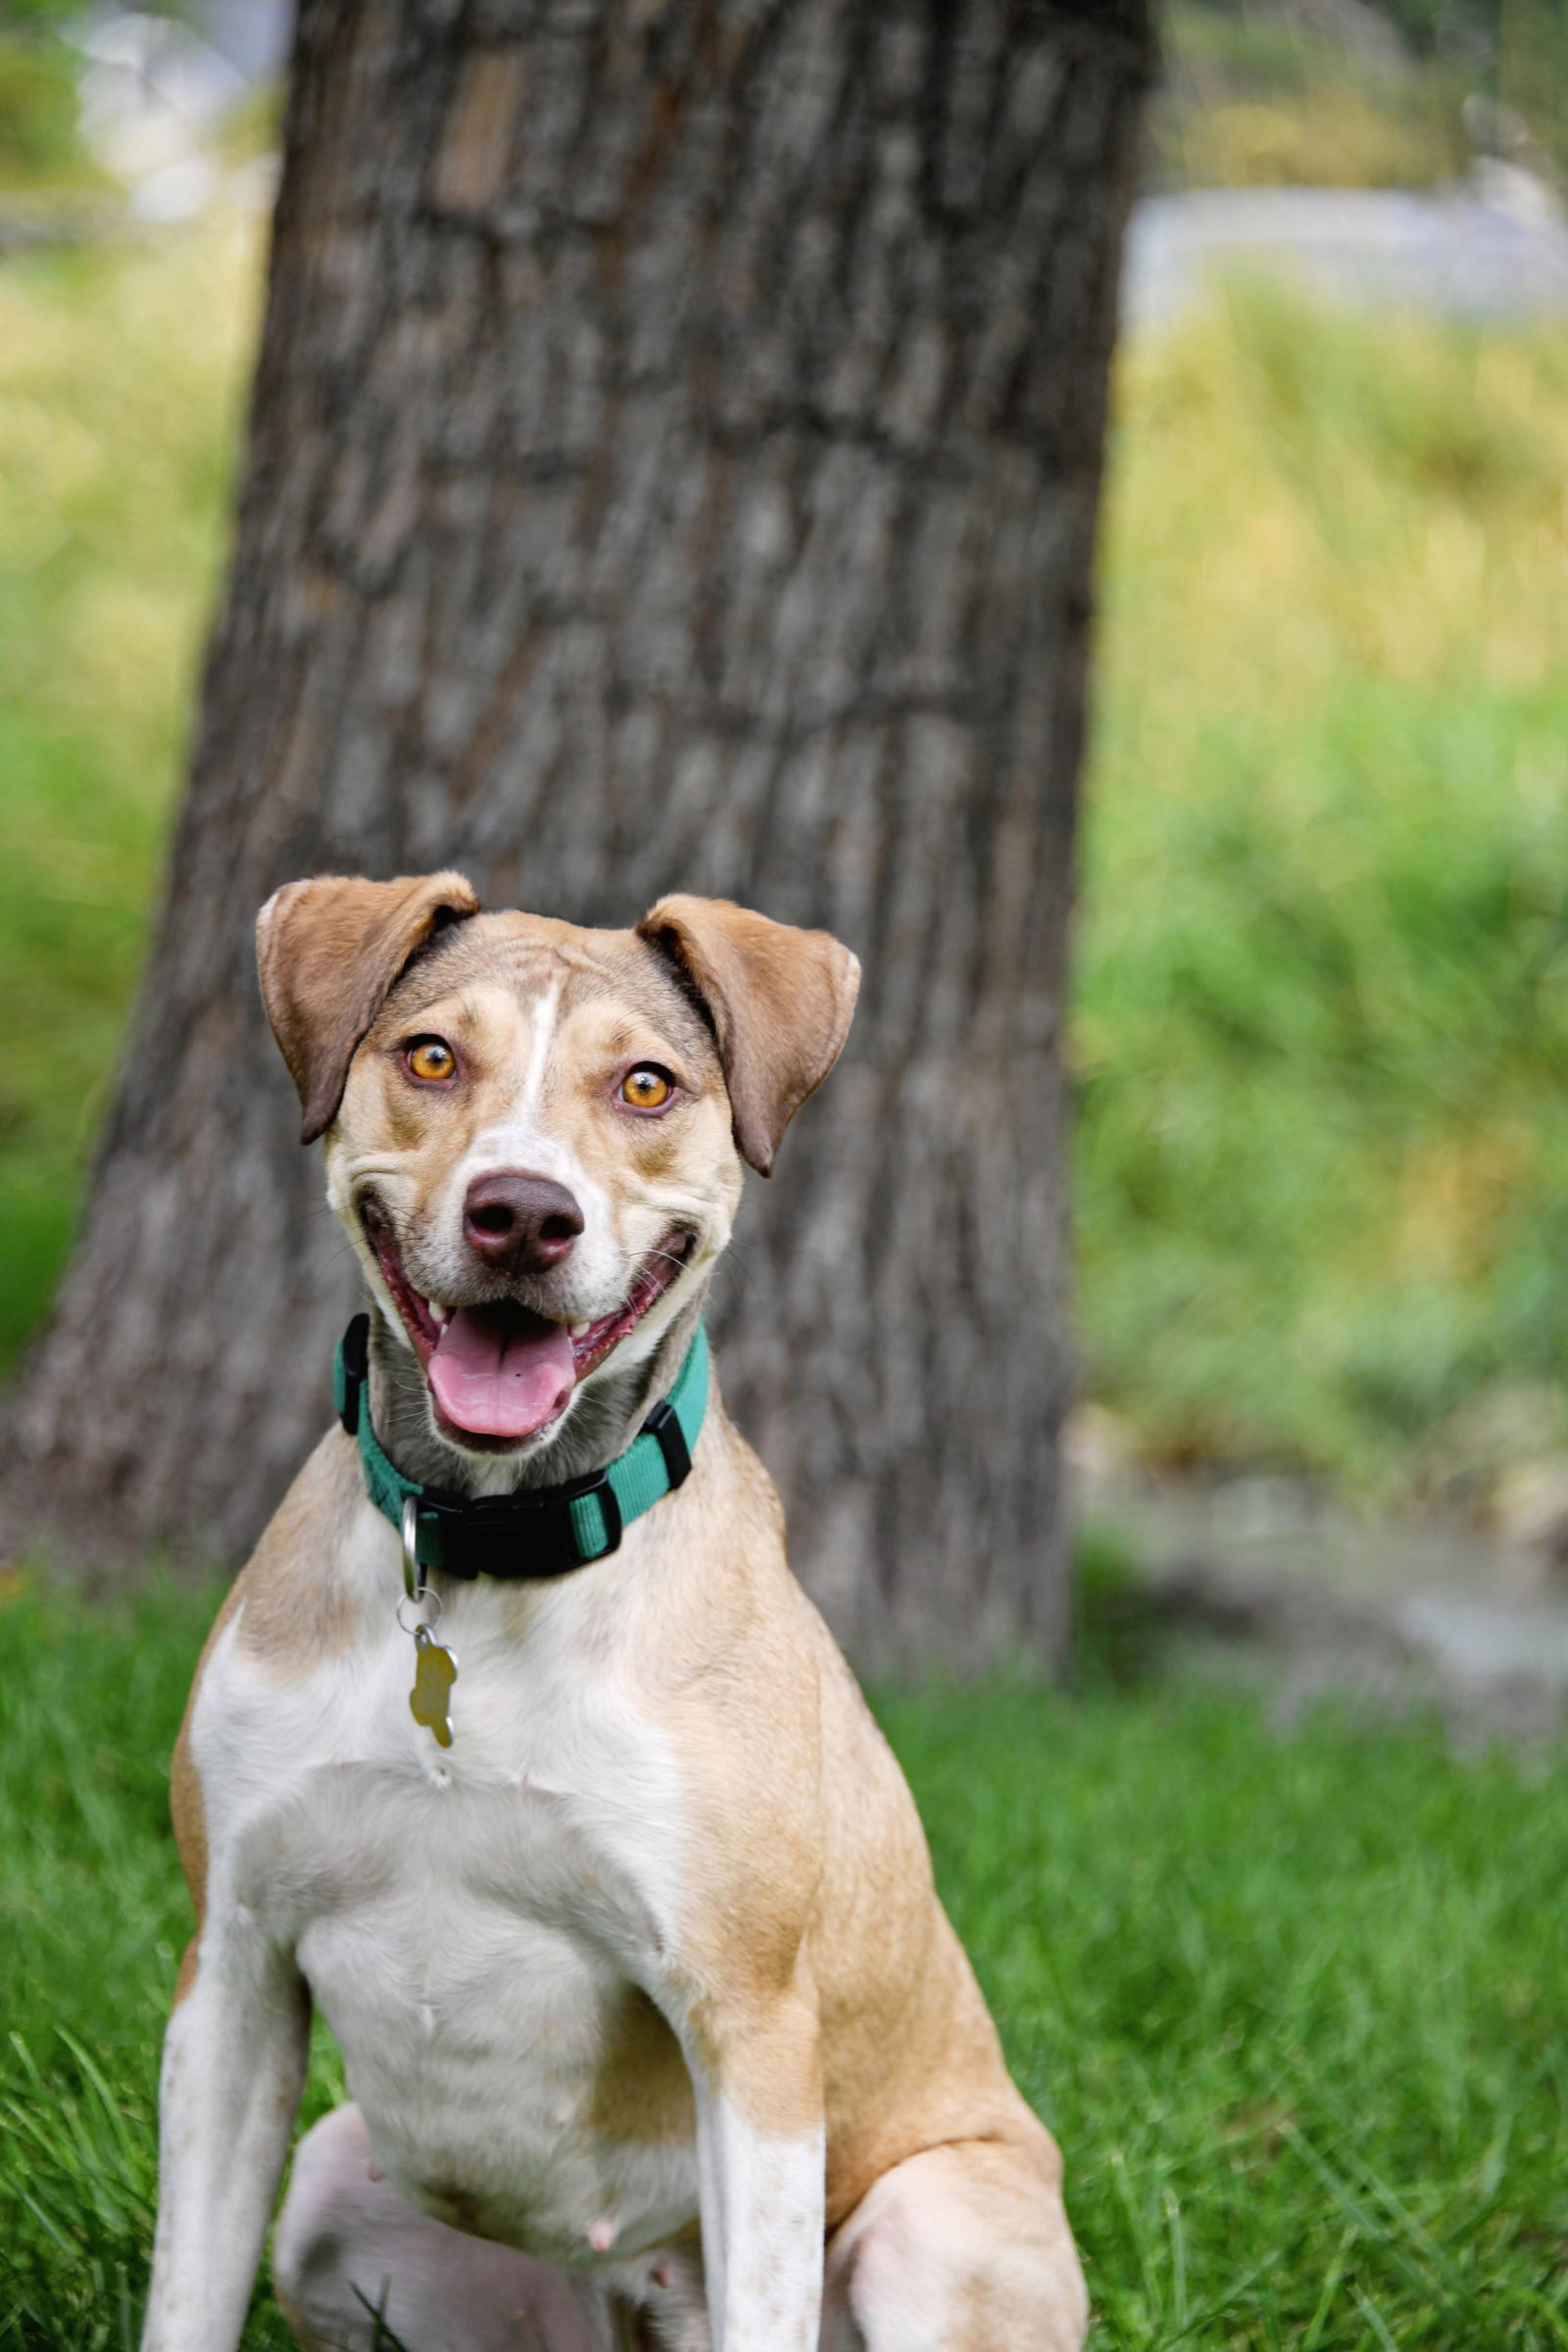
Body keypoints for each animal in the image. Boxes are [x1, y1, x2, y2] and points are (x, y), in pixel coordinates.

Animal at [140, 879, 1086, 2352]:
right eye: (430, 1057)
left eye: (646, 1084)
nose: (523, 1215)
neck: (490, 1547)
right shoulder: (233, 1974)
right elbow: (186, 2295)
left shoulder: (749, 2034)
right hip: (334, 2194)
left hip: (932, 2230)